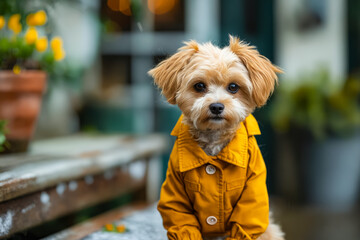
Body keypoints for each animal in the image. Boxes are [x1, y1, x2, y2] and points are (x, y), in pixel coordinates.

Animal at [148, 36, 284, 240]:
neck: (214, 139)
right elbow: (180, 219)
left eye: (233, 87)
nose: (217, 106)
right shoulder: (176, 193)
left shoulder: (252, 195)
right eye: (199, 86)